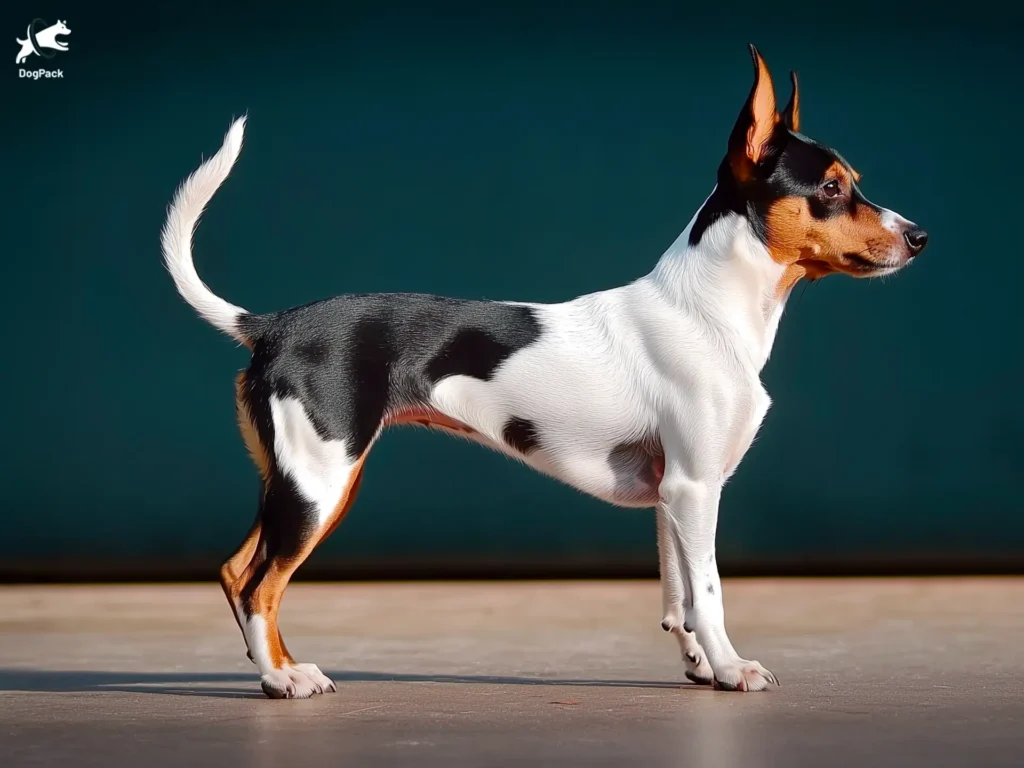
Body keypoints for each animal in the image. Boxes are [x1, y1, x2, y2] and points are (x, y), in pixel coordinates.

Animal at [159, 45, 929, 700]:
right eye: (831, 188)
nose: (920, 236)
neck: (703, 310)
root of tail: (271, 323)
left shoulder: (672, 495)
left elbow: (677, 595)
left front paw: (700, 667)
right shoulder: (695, 487)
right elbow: (709, 592)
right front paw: (733, 668)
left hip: (298, 480)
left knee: (238, 569)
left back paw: (281, 668)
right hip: (320, 482)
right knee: (260, 582)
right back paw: (282, 680)